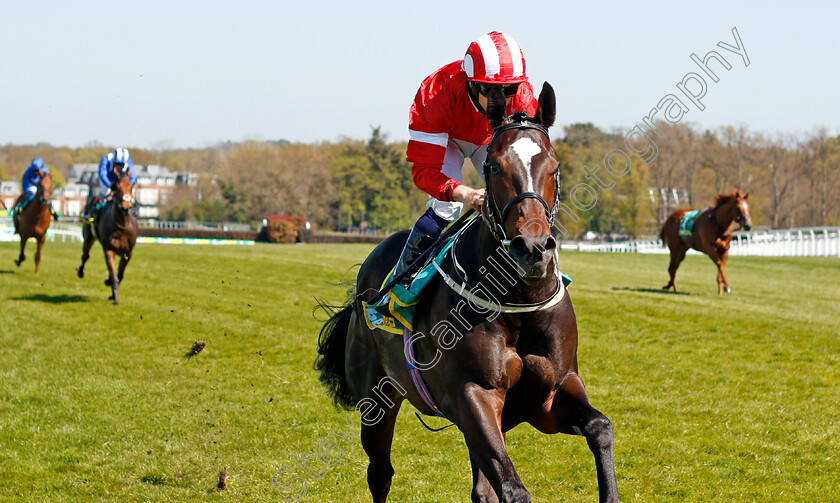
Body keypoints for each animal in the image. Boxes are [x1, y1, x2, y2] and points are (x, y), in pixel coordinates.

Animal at [79, 173, 139, 306]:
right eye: (116, 187)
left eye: (131, 187)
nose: (125, 208)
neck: (121, 226)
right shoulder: (109, 249)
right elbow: (114, 275)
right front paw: (115, 297)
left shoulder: (128, 253)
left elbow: (119, 275)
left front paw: (111, 288)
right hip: (88, 236)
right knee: (85, 255)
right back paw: (80, 271)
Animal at [316, 83, 616, 503]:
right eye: (493, 167)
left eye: (554, 166)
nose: (532, 248)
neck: (518, 301)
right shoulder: (474, 393)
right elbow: (513, 490)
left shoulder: (549, 395)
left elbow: (601, 428)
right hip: (376, 399)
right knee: (380, 473)